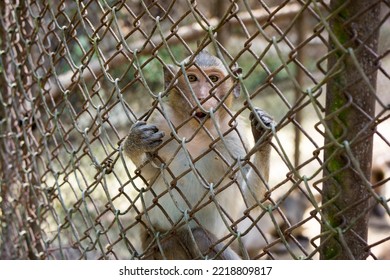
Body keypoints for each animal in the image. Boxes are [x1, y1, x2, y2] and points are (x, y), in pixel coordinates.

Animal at [125, 50, 274, 260]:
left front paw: (263, 136)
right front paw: (135, 142)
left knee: (199, 237)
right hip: (151, 235)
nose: (202, 96)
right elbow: (150, 174)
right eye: (192, 78)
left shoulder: (235, 140)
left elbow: (249, 202)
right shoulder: (161, 120)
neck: (198, 131)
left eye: (214, 79)